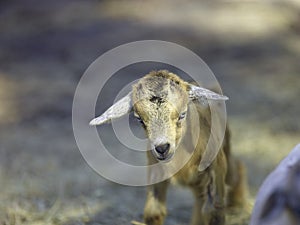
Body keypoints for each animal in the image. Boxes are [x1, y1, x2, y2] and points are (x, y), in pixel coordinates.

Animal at [89, 71, 246, 225]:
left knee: (236, 169)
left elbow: (213, 211)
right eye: (139, 119)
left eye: (182, 114)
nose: (162, 148)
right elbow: (153, 212)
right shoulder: (155, 168)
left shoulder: (215, 166)